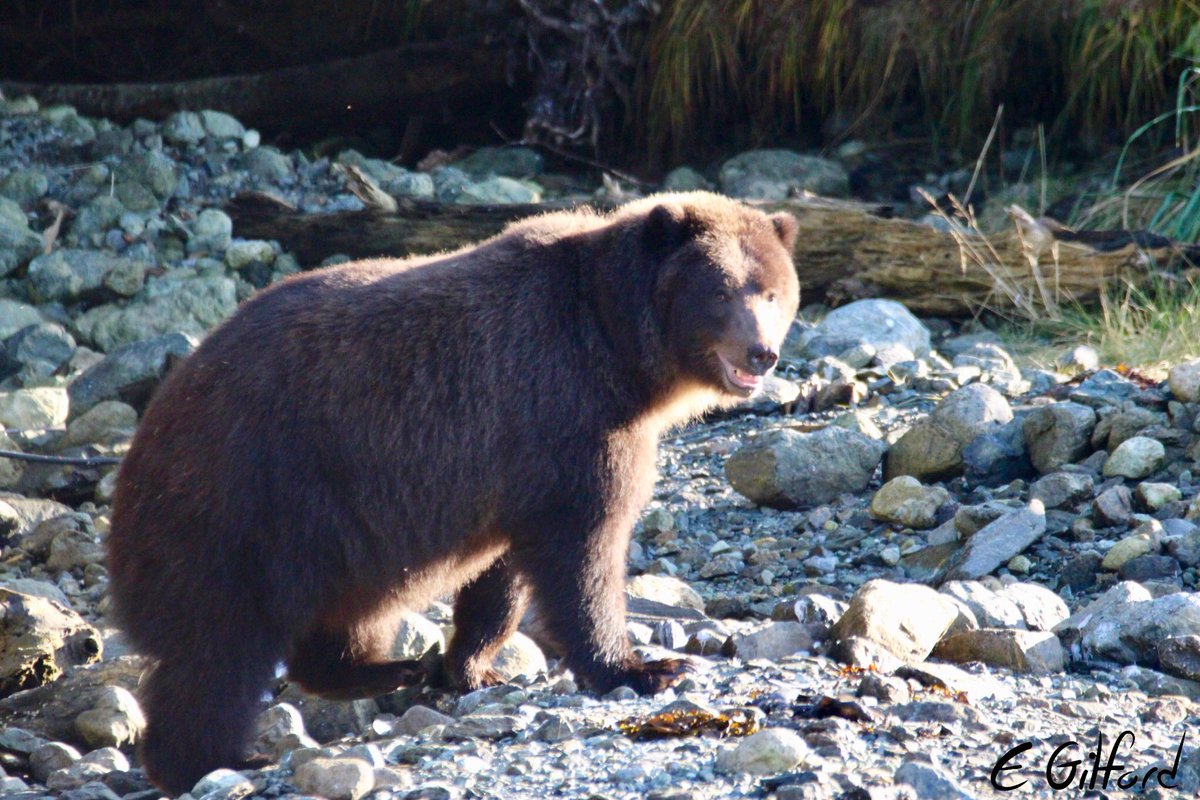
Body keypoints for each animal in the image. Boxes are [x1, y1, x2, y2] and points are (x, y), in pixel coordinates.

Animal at [105, 191, 800, 794]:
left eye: (771, 290)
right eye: (719, 290)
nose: (761, 353)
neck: (616, 347)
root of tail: (152, 424)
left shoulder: (519, 467)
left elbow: (502, 577)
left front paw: (471, 666)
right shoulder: (565, 414)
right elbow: (584, 551)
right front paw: (641, 667)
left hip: (334, 529)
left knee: (343, 613)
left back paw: (384, 667)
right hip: (245, 499)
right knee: (217, 649)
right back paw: (214, 759)